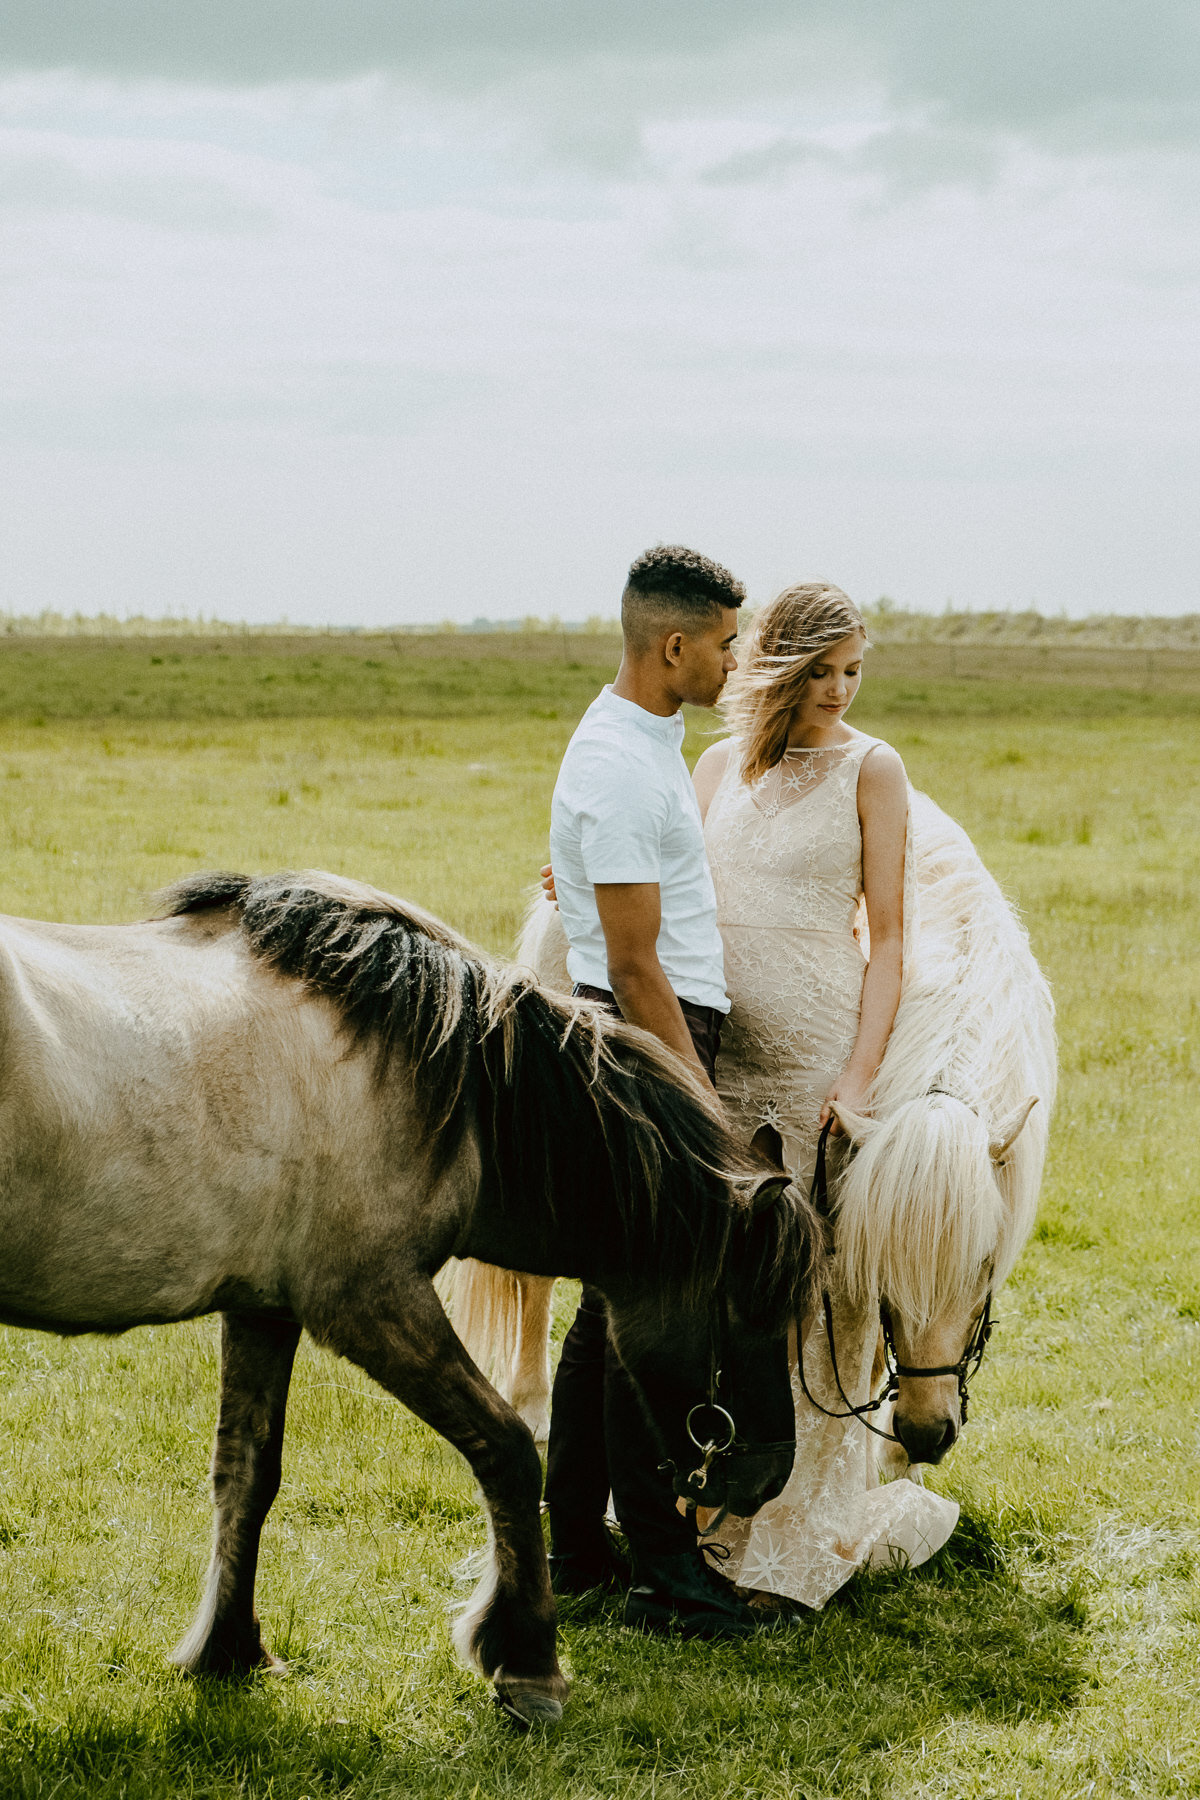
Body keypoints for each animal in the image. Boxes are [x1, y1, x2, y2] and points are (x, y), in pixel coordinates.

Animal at [0, 878, 827, 1720]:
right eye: (749, 1310)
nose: (767, 1478)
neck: (450, 1086)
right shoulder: (373, 1304)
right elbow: (507, 1449)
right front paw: (526, 1660)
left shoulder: (266, 1310)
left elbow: (246, 1473)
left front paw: (228, 1651)